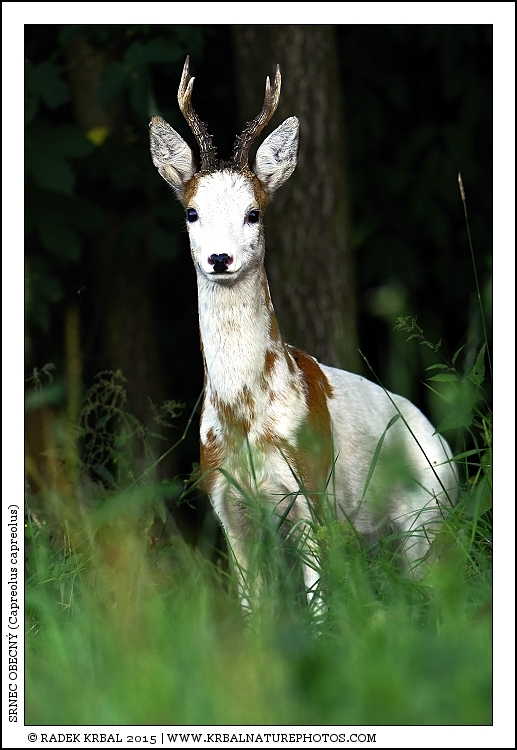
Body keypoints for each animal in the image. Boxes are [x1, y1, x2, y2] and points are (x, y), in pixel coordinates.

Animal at [149, 57, 458, 617]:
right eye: (191, 211)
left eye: (254, 212)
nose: (220, 258)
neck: (246, 417)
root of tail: (444, 444)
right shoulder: (226, 502)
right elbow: (253, 608)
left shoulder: (309, 487)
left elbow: (318, 609)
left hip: (425, 517)